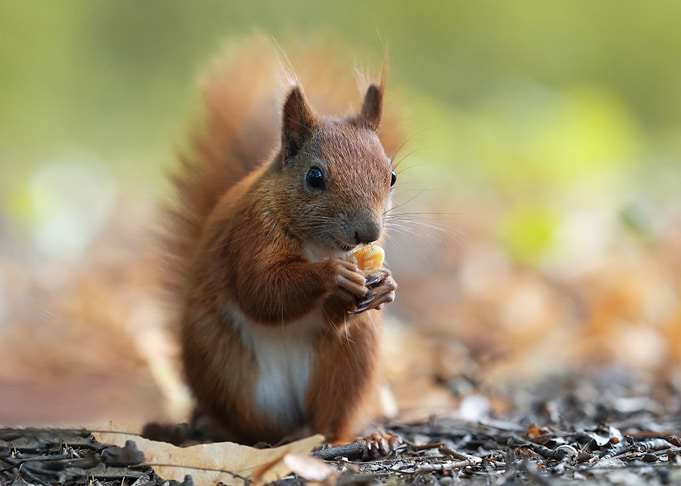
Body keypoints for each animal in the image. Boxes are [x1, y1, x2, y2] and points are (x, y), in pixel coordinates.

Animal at [162, 39, 402, 451]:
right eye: (314, 177)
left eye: (392, 176)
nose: (368, 233)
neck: (319, 245)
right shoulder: (250, 235)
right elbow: (261, 291)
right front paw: (333, 275)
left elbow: (333, 315)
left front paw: (385, 285)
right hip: (227, 370)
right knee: (250, 424)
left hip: (351, 360)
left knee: (331, 418)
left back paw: (362, 438)